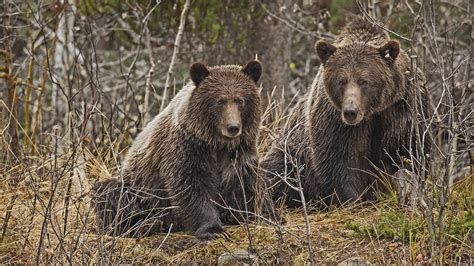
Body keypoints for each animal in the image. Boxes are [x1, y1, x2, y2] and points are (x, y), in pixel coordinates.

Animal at [92, 60, 274, 239]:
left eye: (240, 100)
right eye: (220, 101)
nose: (233, 127)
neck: (216, 143)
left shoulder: (238, 152)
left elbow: (246, 184)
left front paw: (265, 214)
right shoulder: (187, 149)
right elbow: (191, 185)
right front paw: (213, 229)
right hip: (139, 190)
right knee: (109, 193)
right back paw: (144, 225)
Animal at [262, 18, 432, 208]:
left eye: (364, 81)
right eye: (341, 81)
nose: (351, 111)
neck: (371, 113)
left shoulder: (402, 107)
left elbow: (408, 151)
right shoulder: (334, 119)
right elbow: (338, 161)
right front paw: (353, 200)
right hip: (291, 153)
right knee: (276, 174)